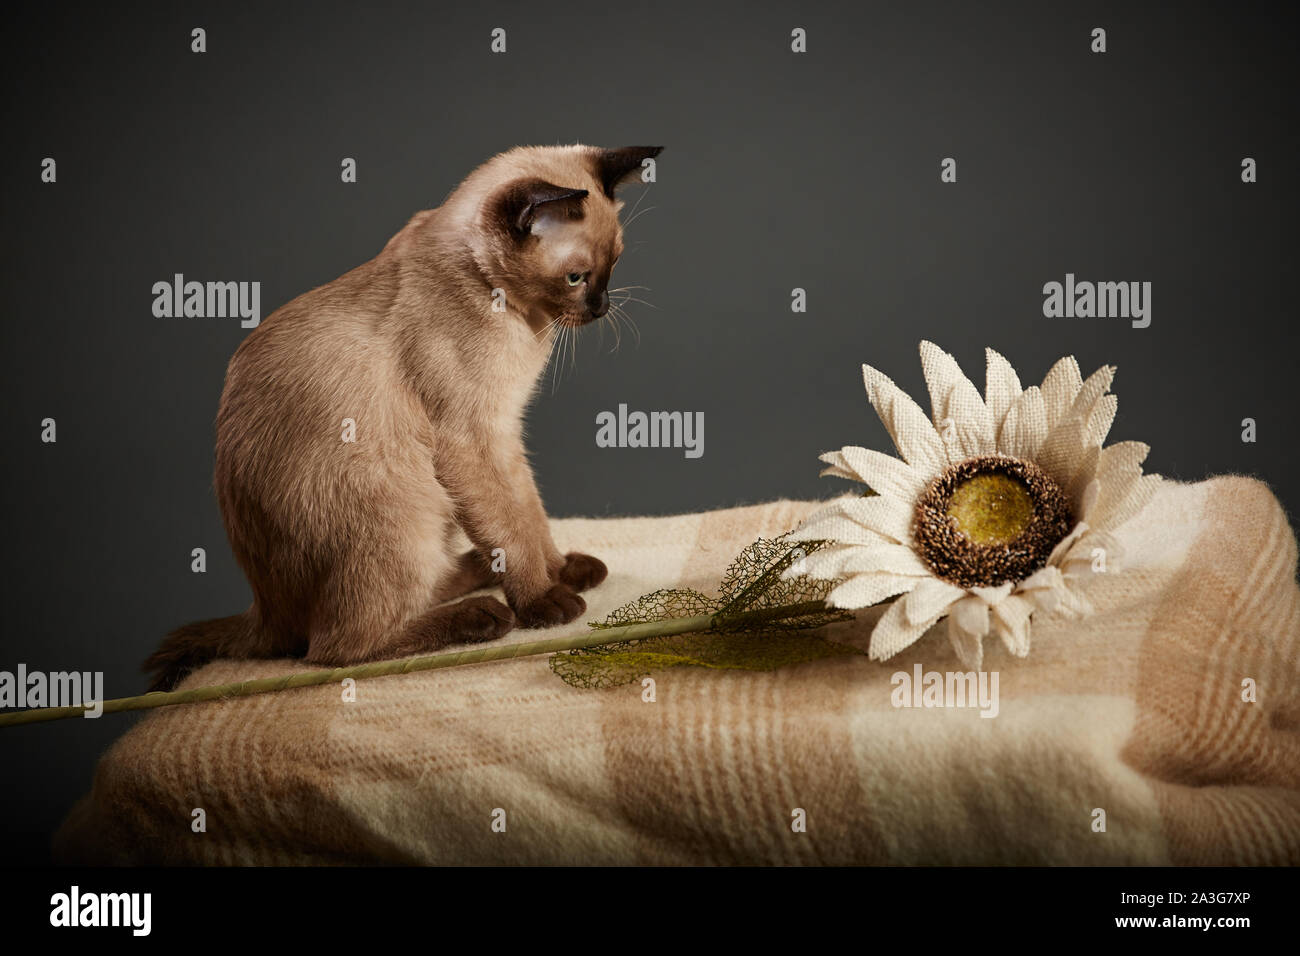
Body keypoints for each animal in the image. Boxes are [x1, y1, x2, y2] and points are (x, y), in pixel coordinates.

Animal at [147, 145, 665, 691]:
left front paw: (560, 571)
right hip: (404, 499)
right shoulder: (469, 438)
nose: (602, 306)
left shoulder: (506, 434)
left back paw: (482, 573)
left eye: (613, 266)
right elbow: (510, 525)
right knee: (335, 648)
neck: (520, 319)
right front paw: (544, 600)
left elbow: (529, 514)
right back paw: (485, 615)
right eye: (575, 277)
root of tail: (266, 612)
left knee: (420, 589)